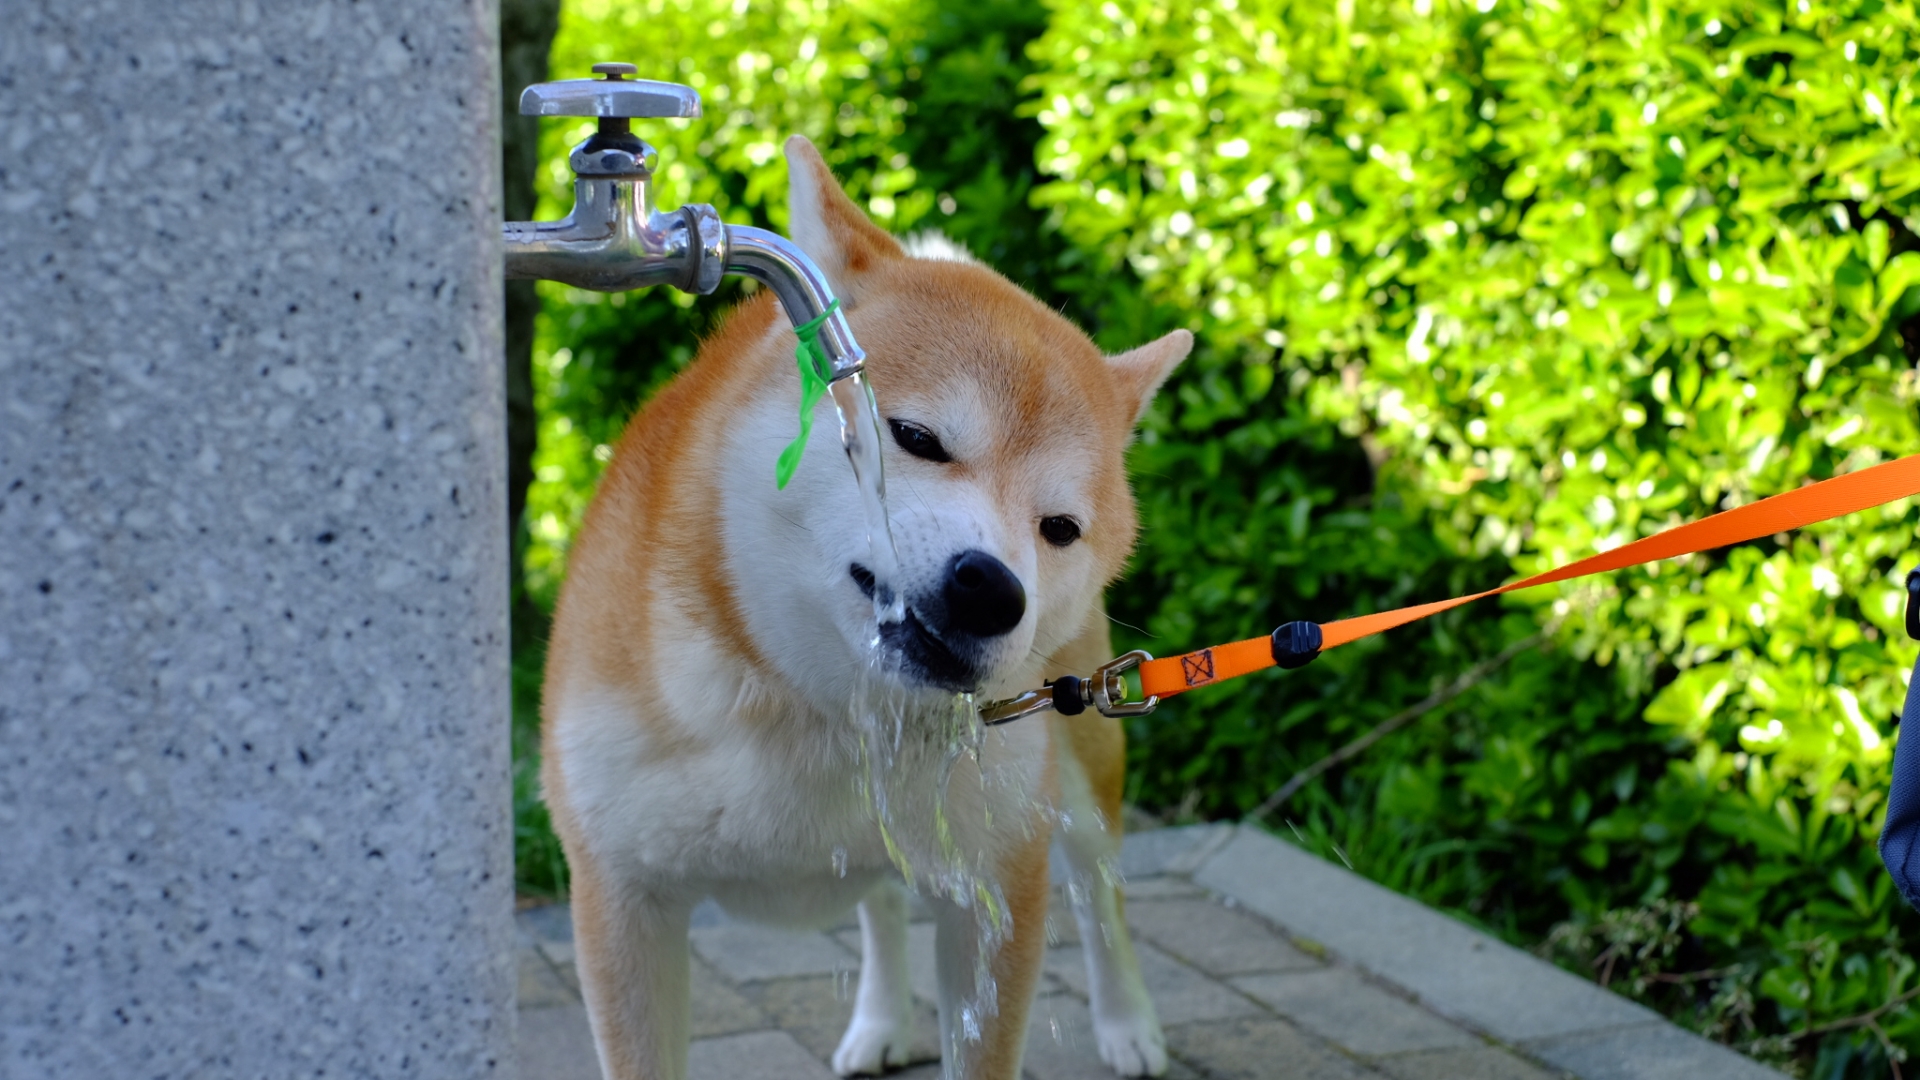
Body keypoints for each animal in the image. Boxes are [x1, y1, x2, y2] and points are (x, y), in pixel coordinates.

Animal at [541, 136, 1190, 1076]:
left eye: (1061, 528)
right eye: (917, 437)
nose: (993, 589)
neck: (814, 709)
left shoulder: (997, 888)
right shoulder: (621, 898)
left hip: (1082, 761)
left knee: (1101, 894)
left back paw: (1128, 1023)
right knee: (880, 903)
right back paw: (881, 1021)